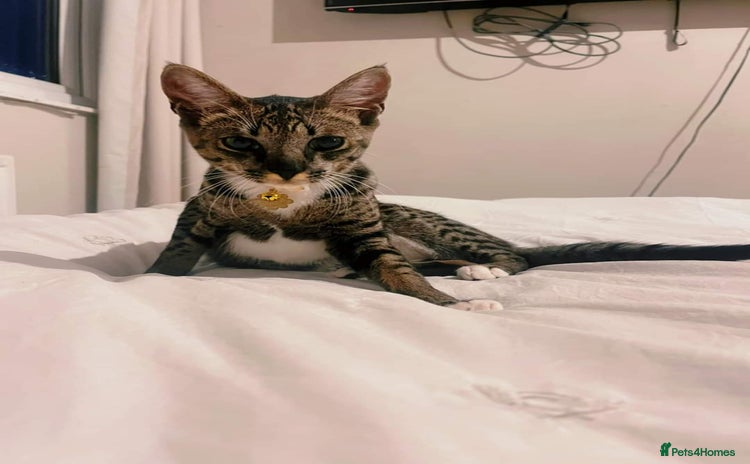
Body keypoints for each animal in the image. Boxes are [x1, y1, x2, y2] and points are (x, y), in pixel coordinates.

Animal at [147, 63, 750, 311]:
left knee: (511, 256)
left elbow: (397, 272)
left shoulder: (364, 224)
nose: (287, 172)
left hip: (413, 217)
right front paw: (148, 278)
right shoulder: (199, 209)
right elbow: (175, 254)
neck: (284, 206)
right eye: (241, 144)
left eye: (327, 143)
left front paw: (452, 304)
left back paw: (478, 271)